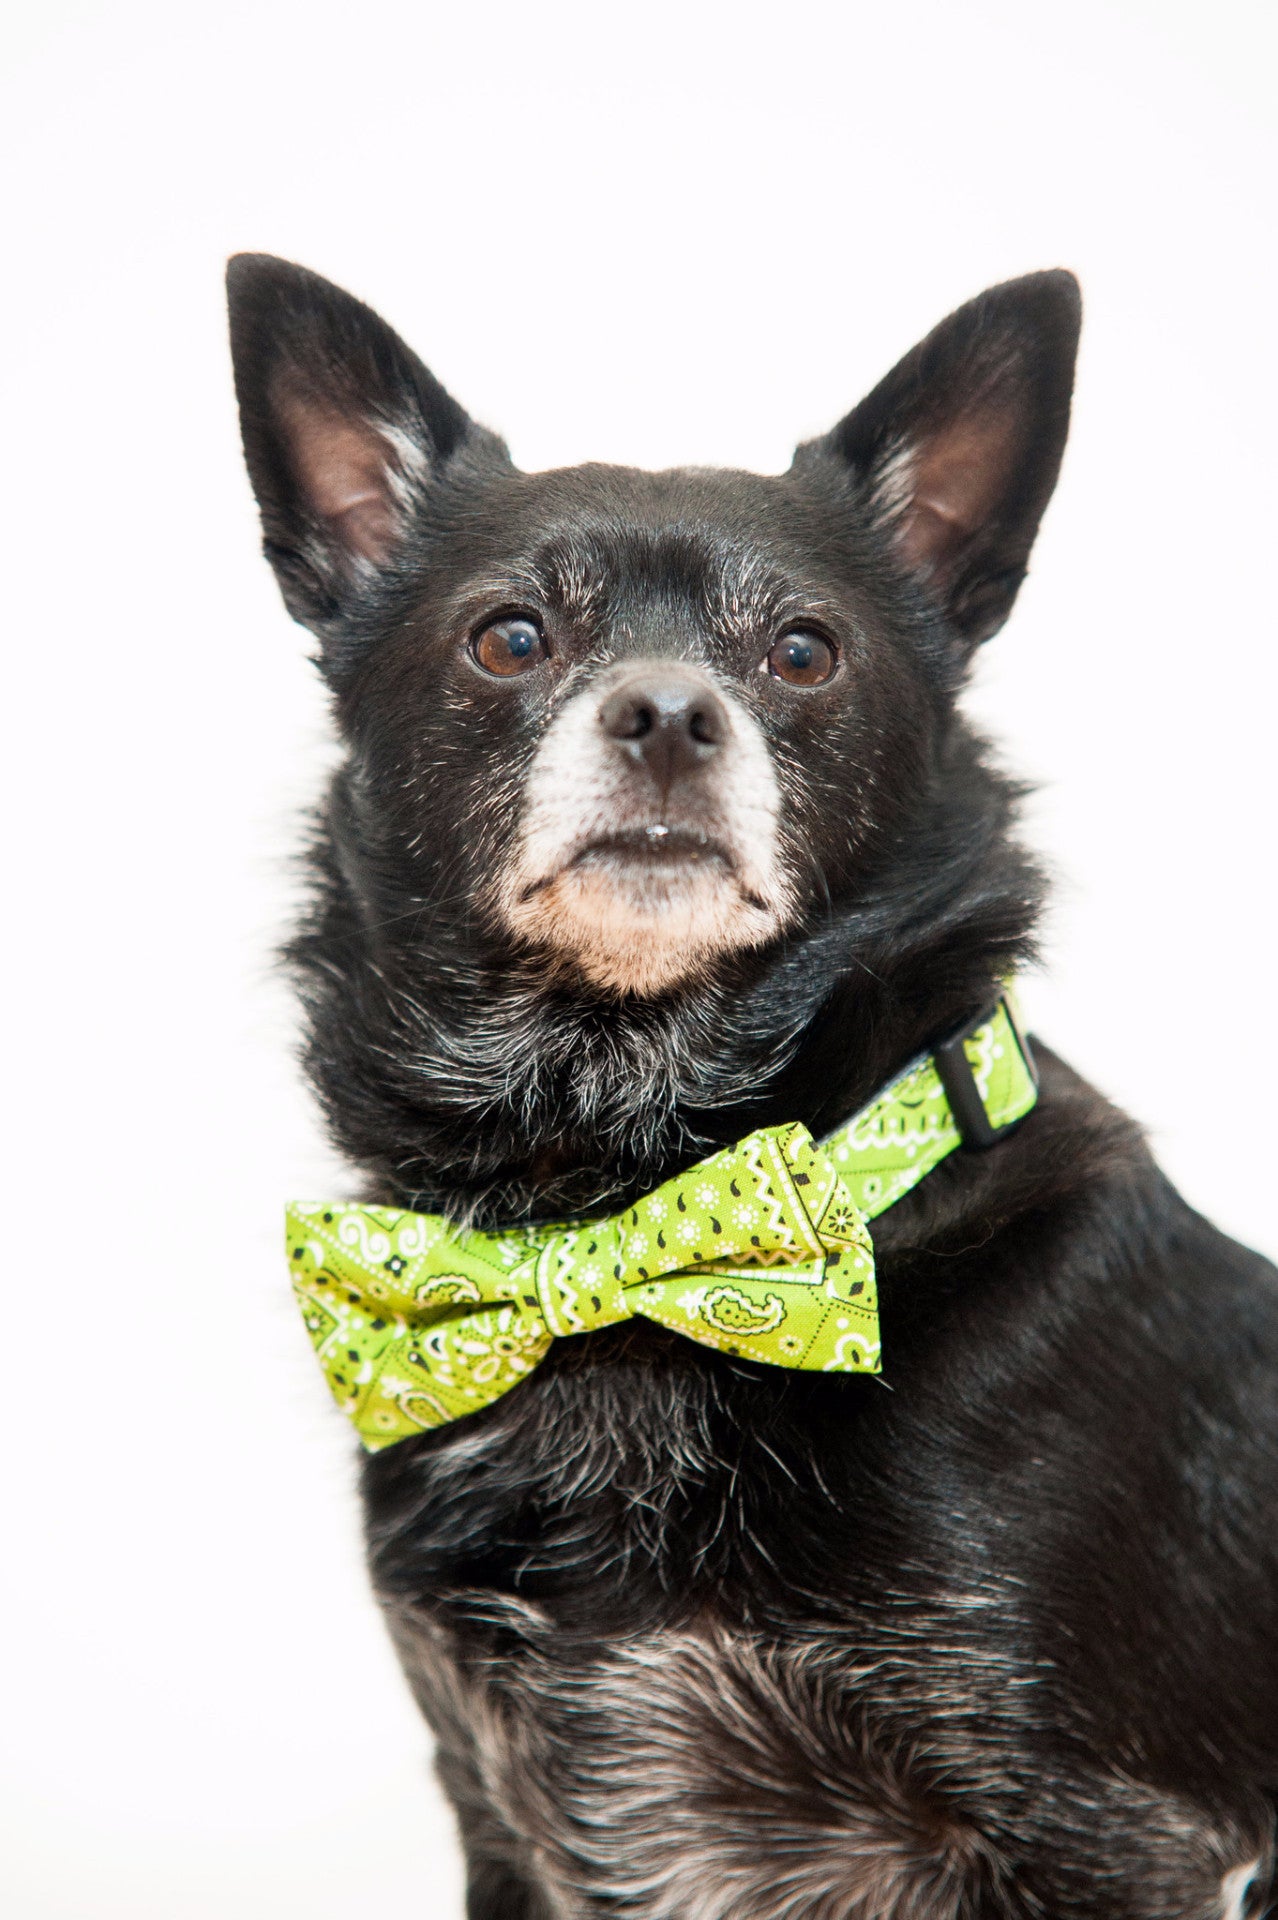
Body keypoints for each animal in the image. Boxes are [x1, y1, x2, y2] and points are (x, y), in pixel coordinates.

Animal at [229, 259, 1274, 1920]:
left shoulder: (1113, 1836)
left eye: (800, 653)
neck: (620, 1198)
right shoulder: (501, 1811)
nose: (665, 713)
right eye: (507, 640)